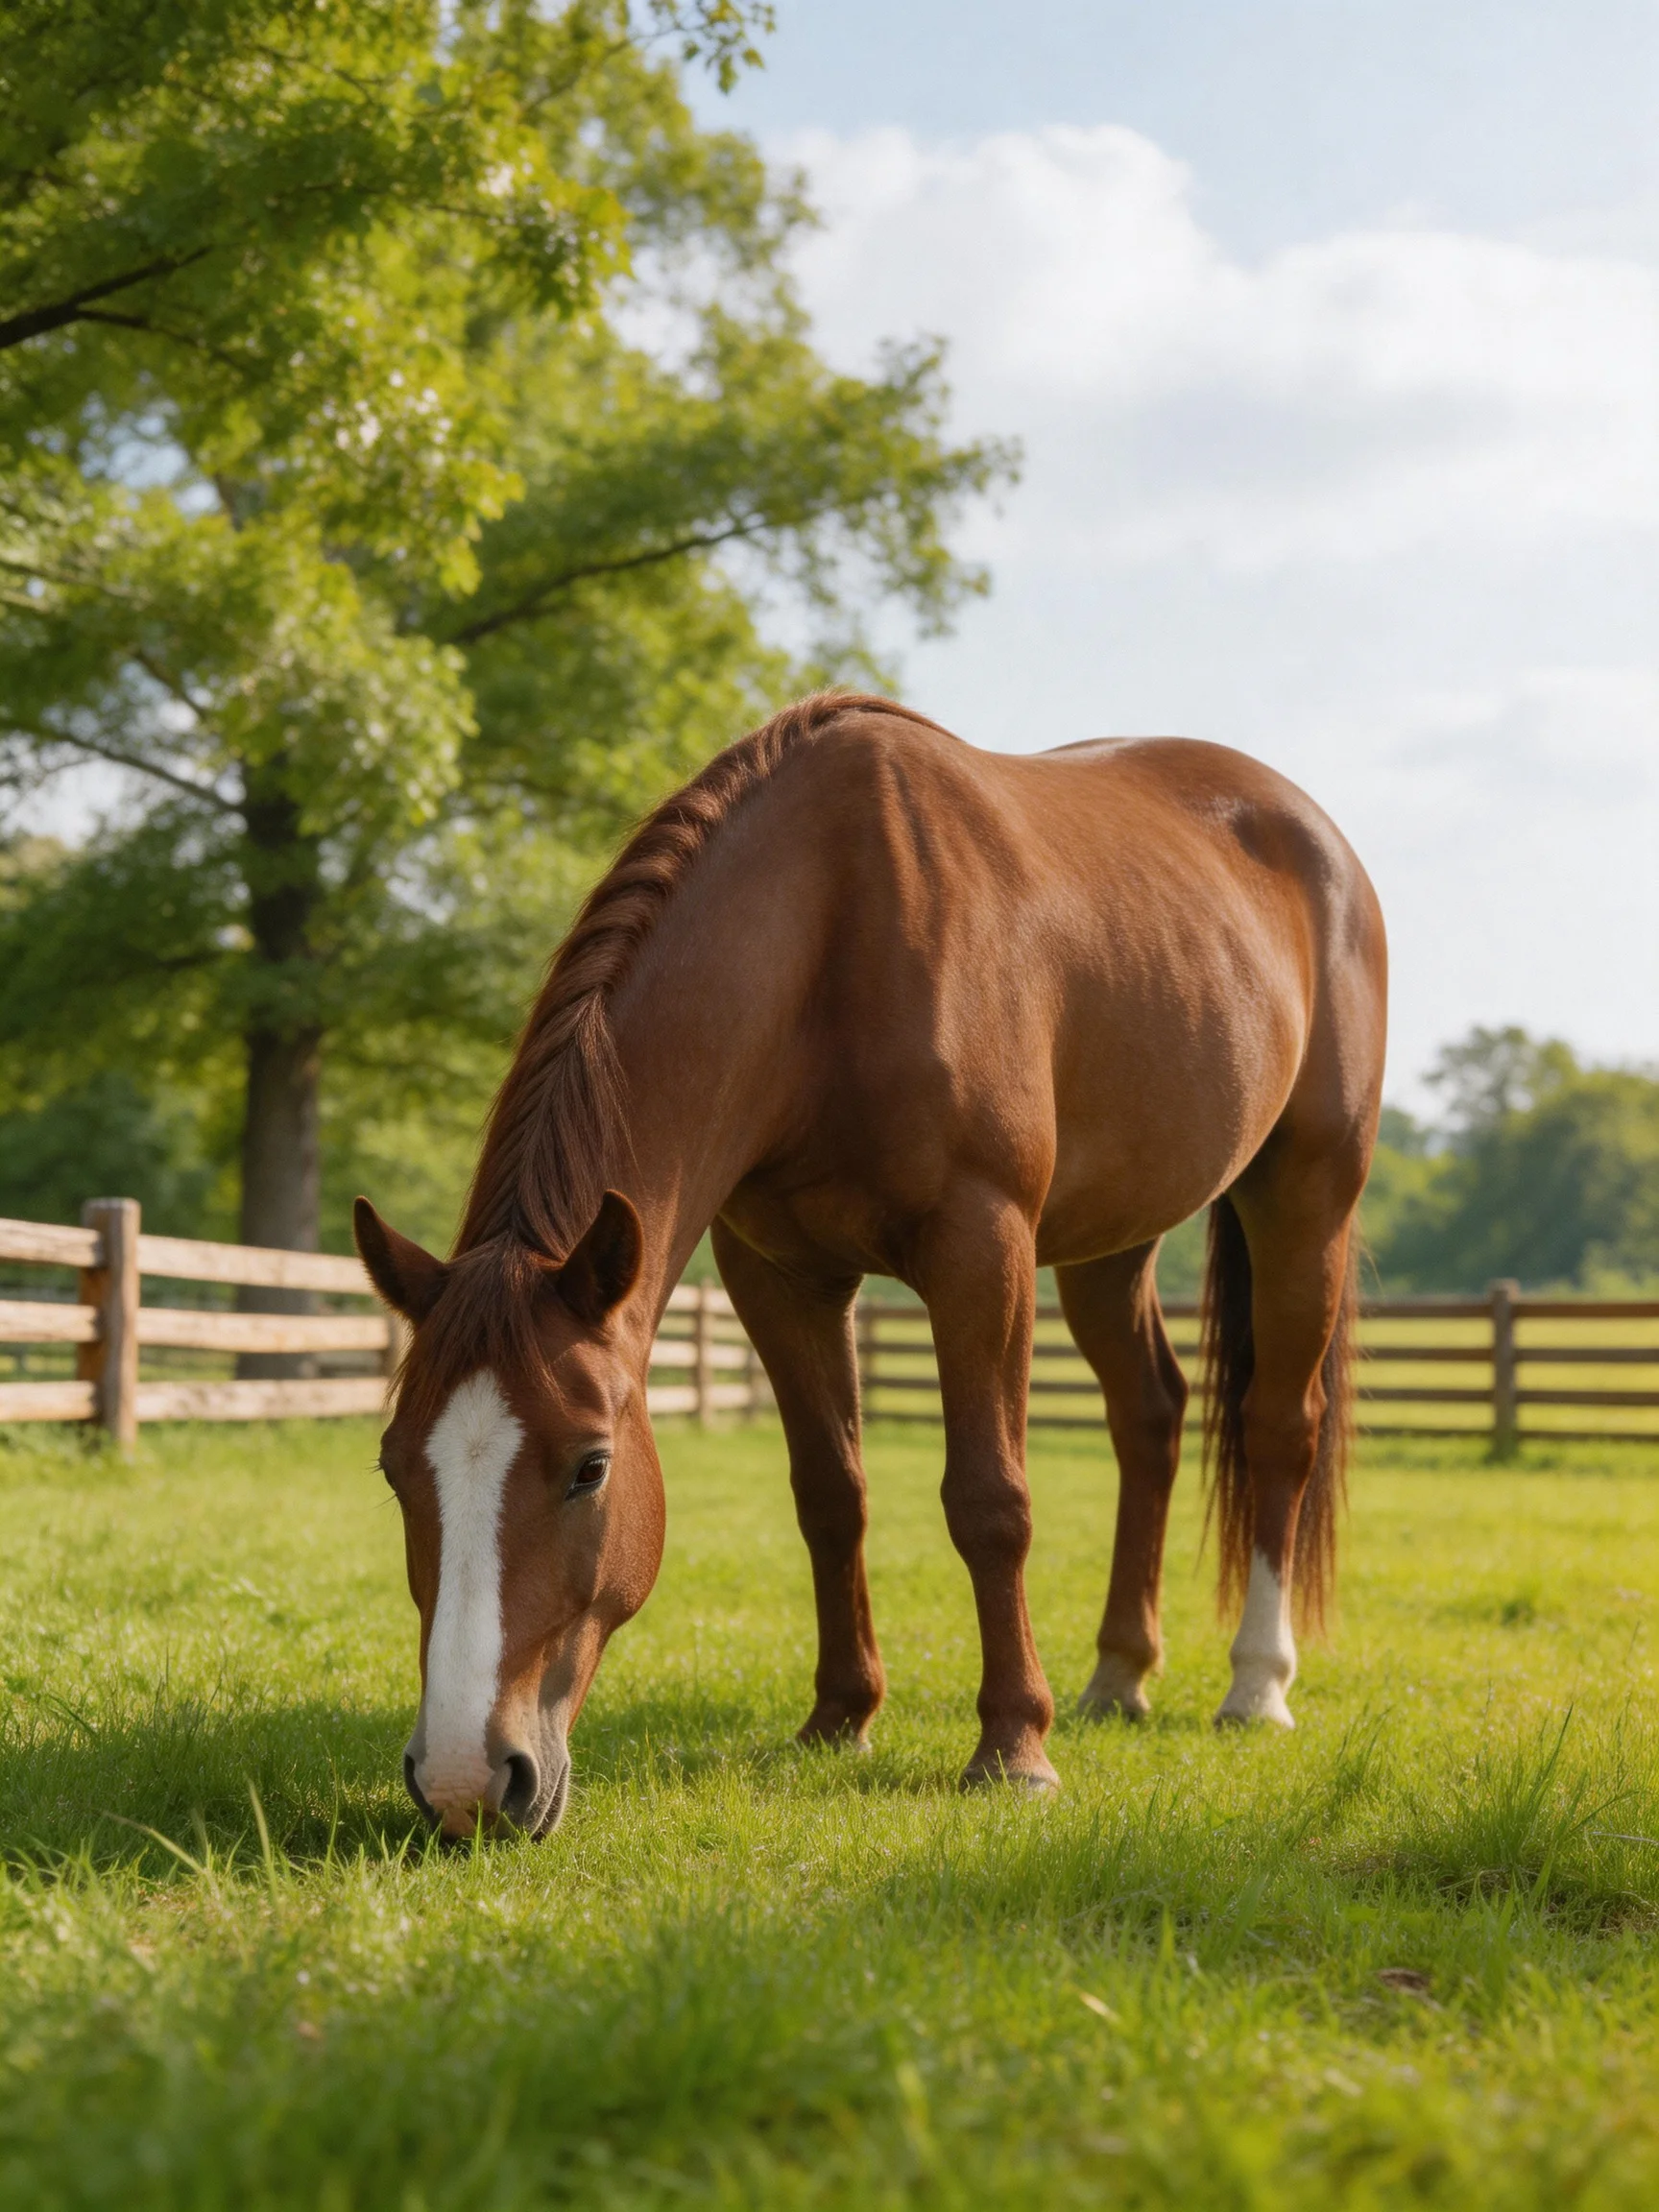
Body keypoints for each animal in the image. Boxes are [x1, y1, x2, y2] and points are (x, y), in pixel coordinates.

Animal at [356, 692, 1386, 1838]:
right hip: (1114, 1242)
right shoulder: (780, 1276)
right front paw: (839, 1718)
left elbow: (989, 1500)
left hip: (1305, 1195)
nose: (465, 1783)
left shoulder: (982, 1247)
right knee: (1150, 1416)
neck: (832, 933)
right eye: (394, 1467)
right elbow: (830, 1493)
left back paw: (1255, 1685)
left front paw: (1014, 1747)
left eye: (591, 1467)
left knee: (1279, 1427)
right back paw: (1119, 1676)